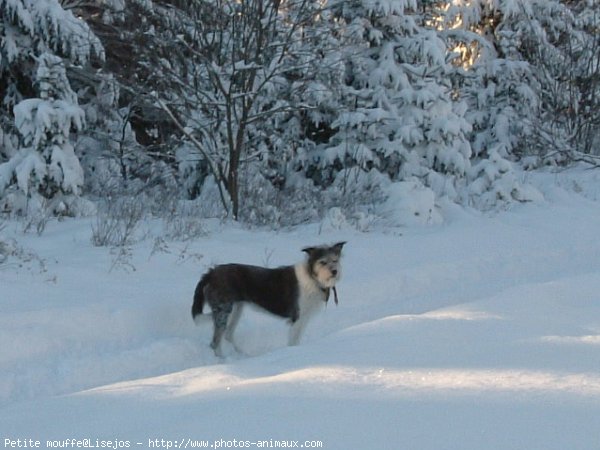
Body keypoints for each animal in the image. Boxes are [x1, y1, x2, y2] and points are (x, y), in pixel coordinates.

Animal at [190, 243, 344, 356]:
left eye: (335, 260)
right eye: (323, 262)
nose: (334, 271)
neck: (312, 277)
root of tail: (210, 274)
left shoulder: (303, 320)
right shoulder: (297, 319)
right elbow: (293, 342)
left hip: (236, 309)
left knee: (227, 335)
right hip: (223, 311)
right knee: (215, 343)